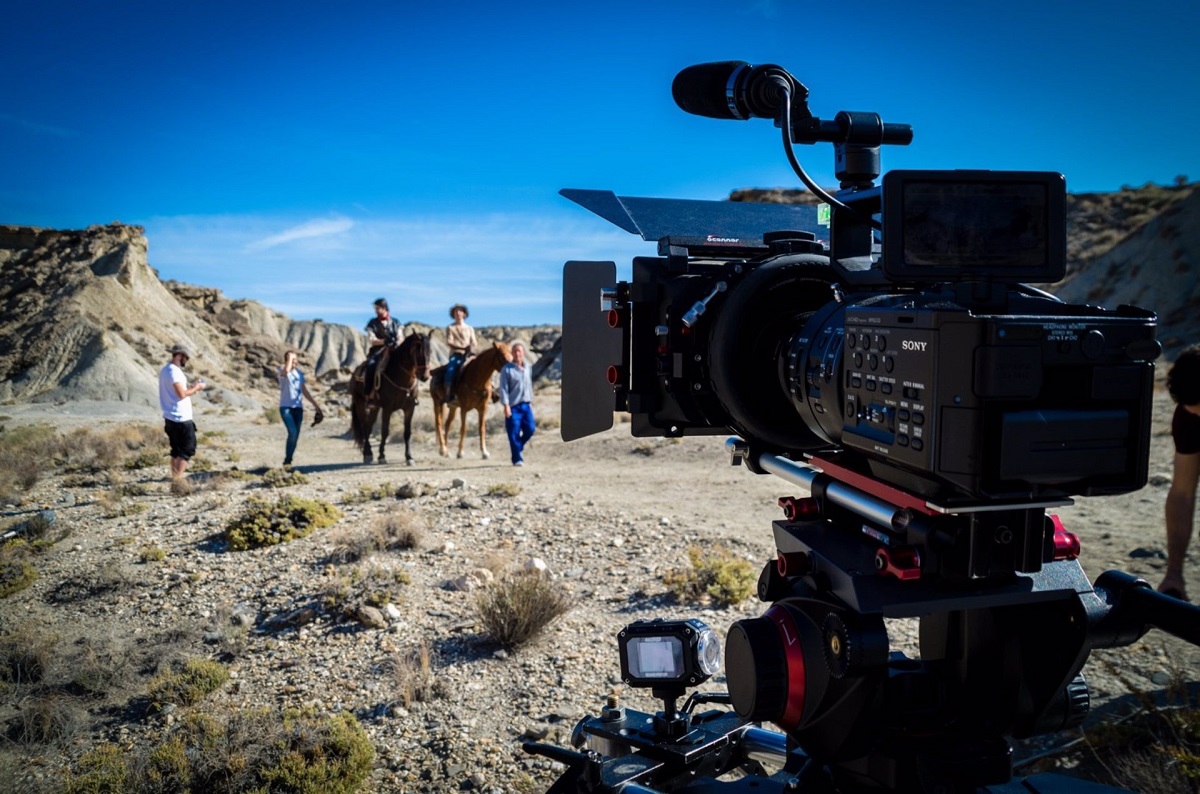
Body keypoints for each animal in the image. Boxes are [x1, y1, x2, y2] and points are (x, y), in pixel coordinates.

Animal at [350, 331, 429, 467]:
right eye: (417, 351)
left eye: (429, 351)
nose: (425, 376)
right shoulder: (387, 408)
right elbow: (385, 431)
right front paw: (382, 456)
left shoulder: (409, 408)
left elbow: (407, 432)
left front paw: (409, 457)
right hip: (360, 403)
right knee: (364, 426)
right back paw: (367, 454)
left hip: (375, 407)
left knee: (368, 426)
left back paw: (368, 453)